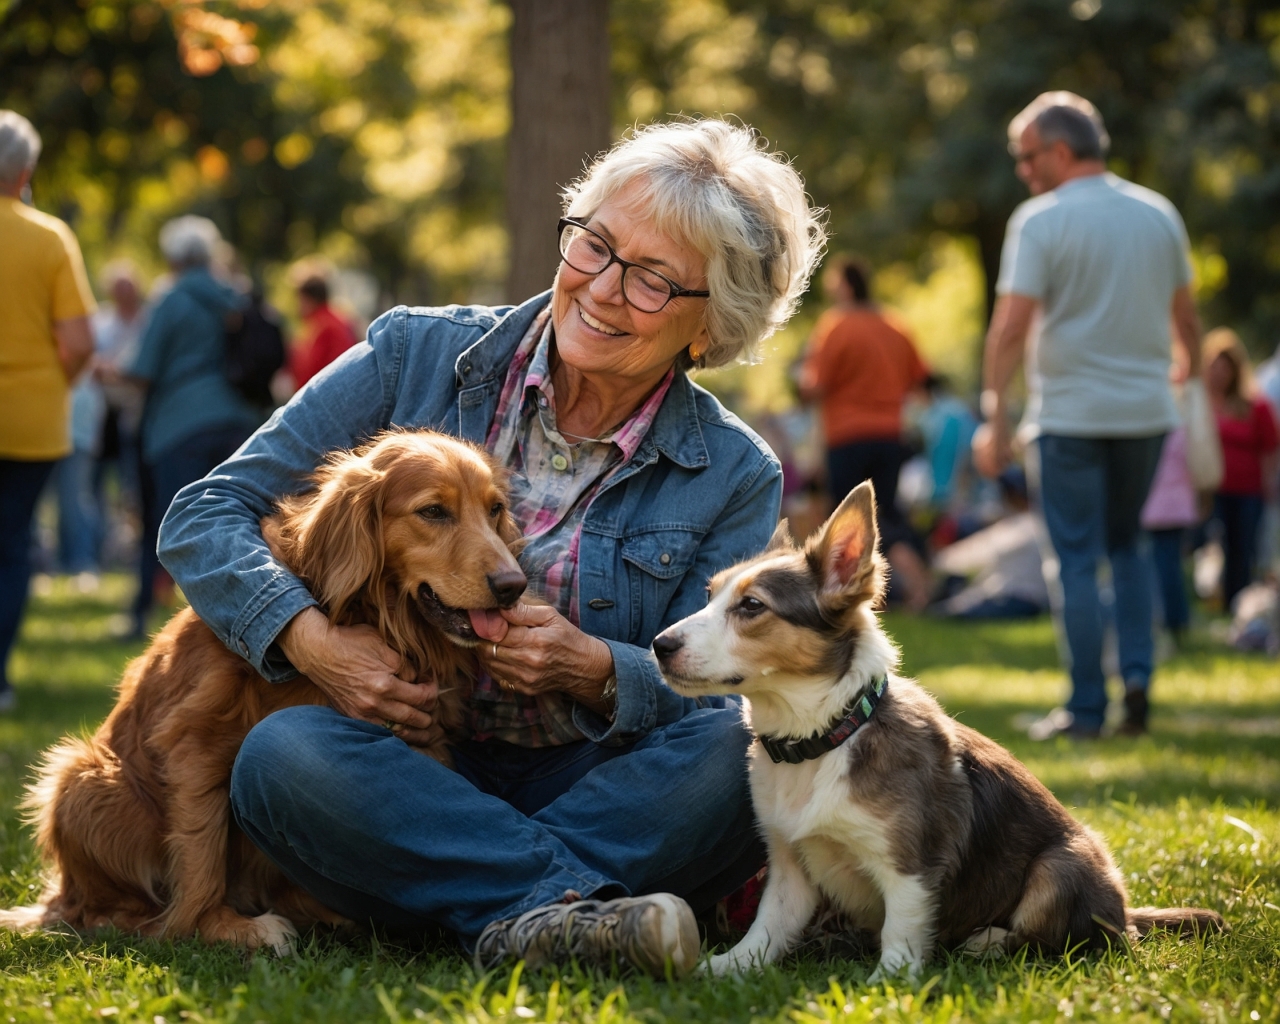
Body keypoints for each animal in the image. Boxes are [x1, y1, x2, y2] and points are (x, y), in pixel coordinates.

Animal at [0, 430, 524, 952]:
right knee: (95, 912)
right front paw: (215, 926)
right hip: (83, 778)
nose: (513, 586)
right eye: (433, 511)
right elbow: (201, 851)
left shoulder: (424, 737)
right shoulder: (193, 743)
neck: (374, 616)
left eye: (495, 509)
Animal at [655, 483, 1223, 977]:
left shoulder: (911, 864)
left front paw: (888, 984)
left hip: (1061, 868)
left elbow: (902, 930)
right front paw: (726, 967)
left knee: (1070, 939)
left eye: (752, 606)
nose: (659, 645)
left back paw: (987, 940)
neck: (826, 736)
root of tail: (1126, 909)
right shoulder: (790, 864)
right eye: (708, 594)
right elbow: (768, 927)